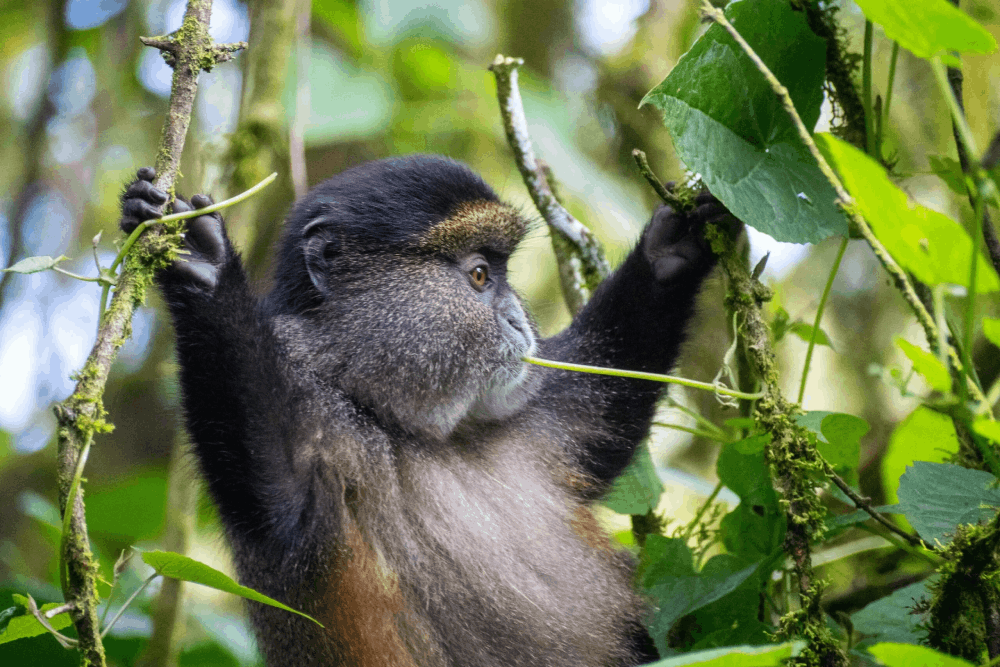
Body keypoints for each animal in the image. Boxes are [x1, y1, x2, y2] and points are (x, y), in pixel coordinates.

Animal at [120, 155, 738, 667]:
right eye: (480, 275)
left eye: (500, 272)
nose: (518, 319)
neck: (390, 413)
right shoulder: (307, 410)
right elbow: (273, 496)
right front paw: (201, 264)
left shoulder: (533, 421)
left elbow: (603, 418)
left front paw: (673, 245)